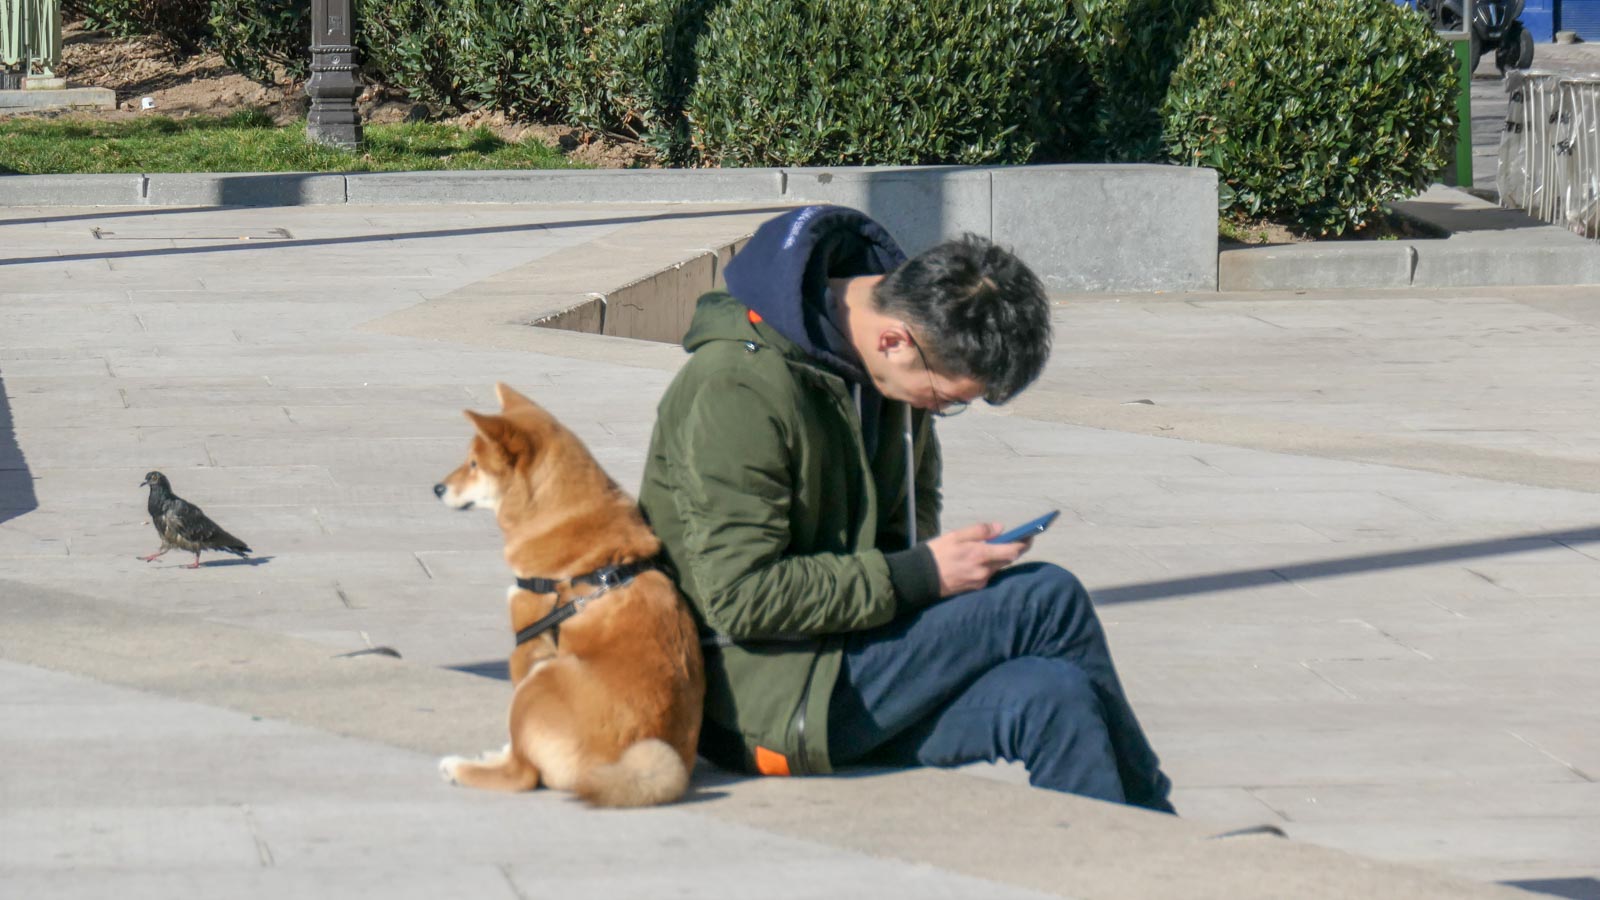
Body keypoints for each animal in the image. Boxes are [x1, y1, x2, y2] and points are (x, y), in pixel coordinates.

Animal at [433, 383, 704, 807]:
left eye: (474, 464)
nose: (437, 488)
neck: (558, 510)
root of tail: (618, 768)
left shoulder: (529, 642)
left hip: (543, 678)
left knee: (522, 774)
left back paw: (461, 769)